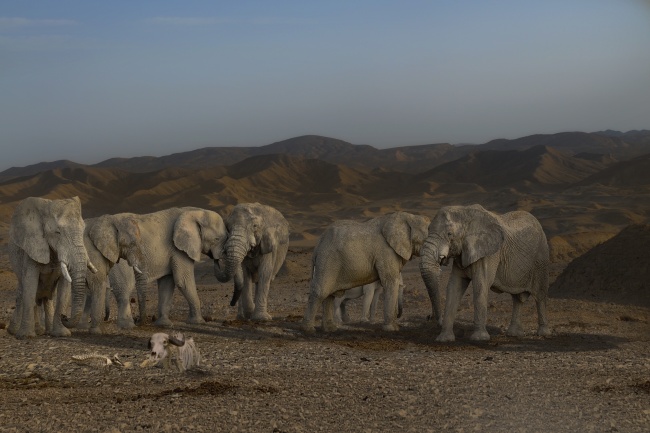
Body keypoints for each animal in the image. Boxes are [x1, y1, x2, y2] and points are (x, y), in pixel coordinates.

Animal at [6, 196, 95, 338]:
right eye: (57, 232)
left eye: (83, 231)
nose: (65, 317)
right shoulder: (32, 246)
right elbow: (30, 285)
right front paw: (26, 336)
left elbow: (64, 289)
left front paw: (61, 334)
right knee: (23, 292)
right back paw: (16, 331)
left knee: (47, 298)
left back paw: (45, 331)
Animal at [300, 211, 430, 332]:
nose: (398, 316)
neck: (410, 217)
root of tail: (318, 243)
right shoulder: (385, 251)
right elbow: (390, 282)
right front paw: (392, 329)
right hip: (327, 260)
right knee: (321, 292)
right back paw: (309, 330)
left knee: (330, 294)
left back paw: (330, 329)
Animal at [418, 202, 548, 340]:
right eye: (428, 230)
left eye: (449, 234)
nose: (429, 318)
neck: (464, 211)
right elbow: (454, 286)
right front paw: (444, 339)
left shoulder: (489, 254)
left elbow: (480, 284)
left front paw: (479, 338)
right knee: (517, 298)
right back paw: (514, 334)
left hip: (541, 258)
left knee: (540, 295)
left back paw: (543, 333)